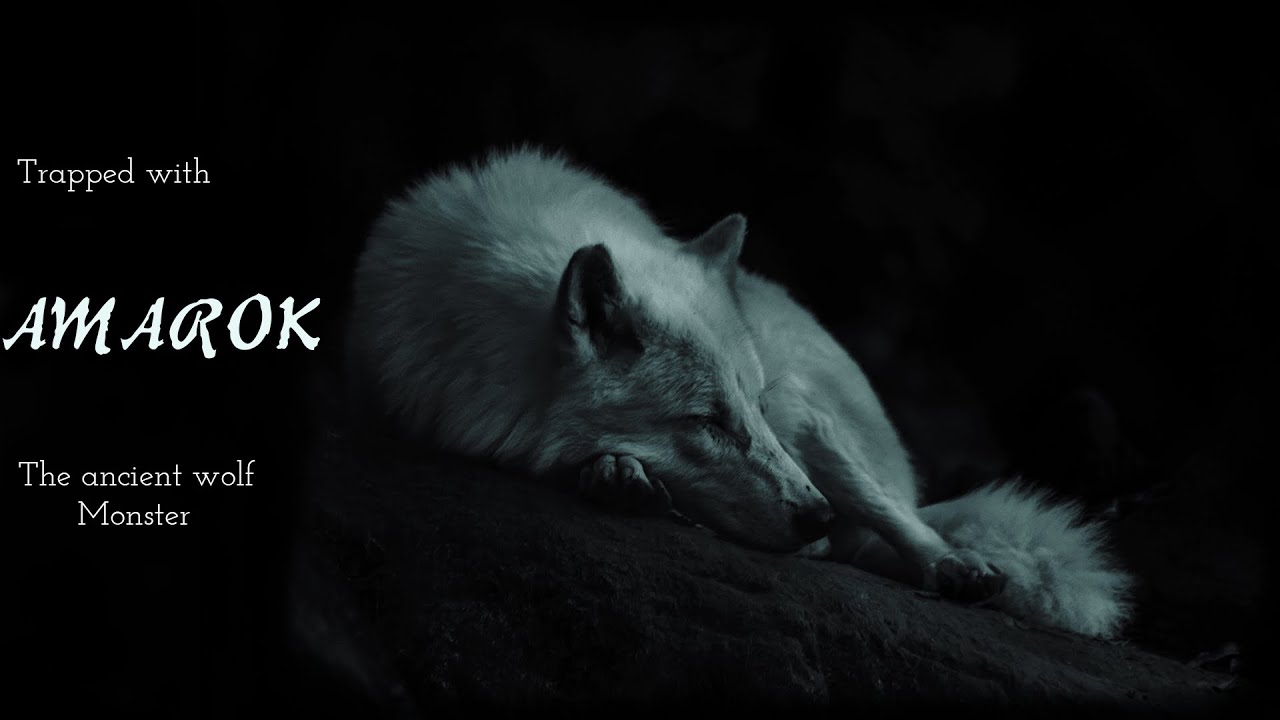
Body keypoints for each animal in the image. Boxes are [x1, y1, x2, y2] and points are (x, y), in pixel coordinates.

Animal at [346, 148, 1132, 638]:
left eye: (749, 410)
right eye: (709, 422)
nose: (814, 514)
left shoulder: (783, 414)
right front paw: (618, 473)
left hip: (815, 420)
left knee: (902, 522)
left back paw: (954, 566)